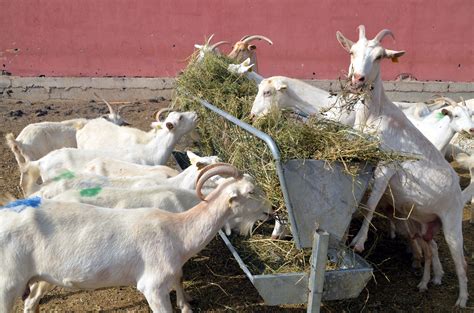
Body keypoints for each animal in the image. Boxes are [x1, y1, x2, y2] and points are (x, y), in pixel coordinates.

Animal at [336, 25, 468, 306]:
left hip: (452, 220)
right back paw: (431, 278)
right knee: (431, 246)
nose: (358, 79)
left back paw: (462, 299)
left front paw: (359, 242)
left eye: (379, 57)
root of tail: (458, 189)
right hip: (425, 223)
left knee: (461, 261)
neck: (375, 115)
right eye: (352, 52)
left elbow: (371, 202)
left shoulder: (387, 165)